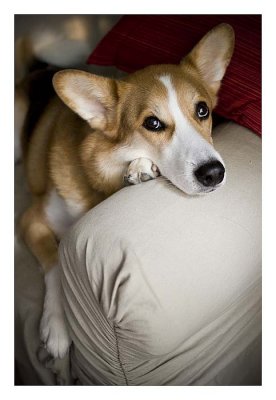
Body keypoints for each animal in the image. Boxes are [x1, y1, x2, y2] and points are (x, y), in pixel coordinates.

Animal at [15, 23, 234, 358]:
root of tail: (40, 69)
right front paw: (56, 326)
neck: (99, 187)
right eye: (153, 123)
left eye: (202, 110)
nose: (214, 173)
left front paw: (141, 168)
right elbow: (55, 262)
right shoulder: (32, 220)